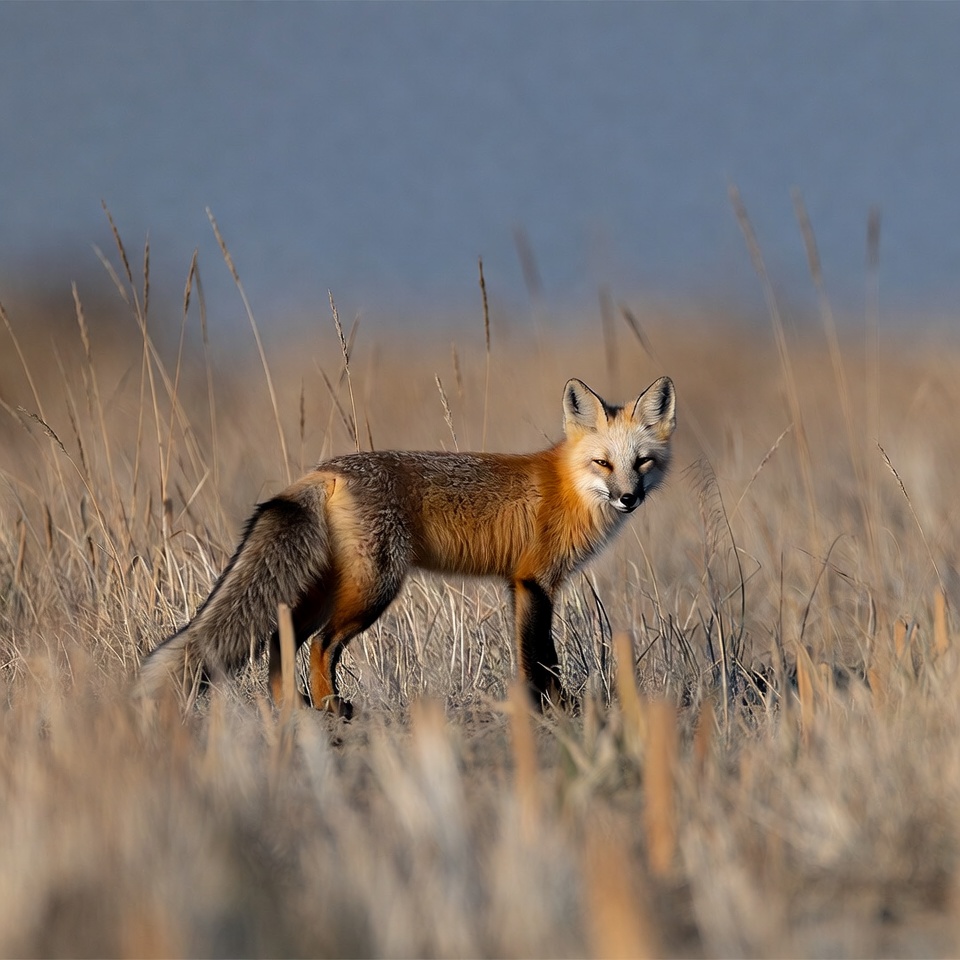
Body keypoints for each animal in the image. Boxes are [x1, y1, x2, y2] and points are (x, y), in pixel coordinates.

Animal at [138, 376, 676, 717]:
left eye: (642, 462)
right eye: (603, 463)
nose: (628, 498)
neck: (569, 486)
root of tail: (324, 470)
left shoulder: (522, 585)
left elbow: (529, 657)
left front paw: (537, 709)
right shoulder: (535, 581)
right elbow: (542, 656)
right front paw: (559, 710)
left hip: (327, 588)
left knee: (281, 635)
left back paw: (292, 706)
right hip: (373, 588)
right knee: (321, 644)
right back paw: (329, 706)